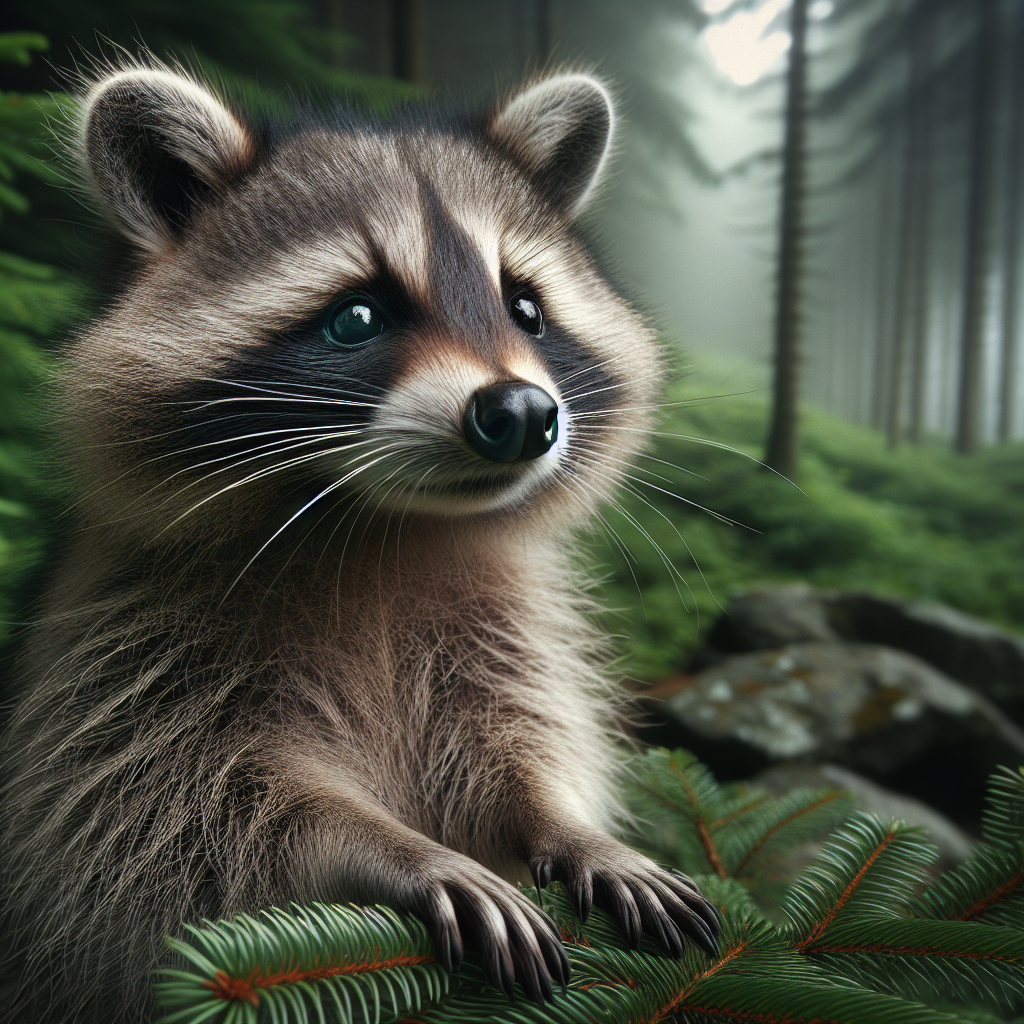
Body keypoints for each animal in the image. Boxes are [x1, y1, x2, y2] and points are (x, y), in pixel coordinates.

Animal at [0, 62, 719, 1022]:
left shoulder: (503, 627)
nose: (522, 413)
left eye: (526, 308)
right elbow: (178, 823)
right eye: (357, 317)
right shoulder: (126, 662)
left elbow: (517, 739)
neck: (383, 521)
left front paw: (566, 822)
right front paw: (399, 851)